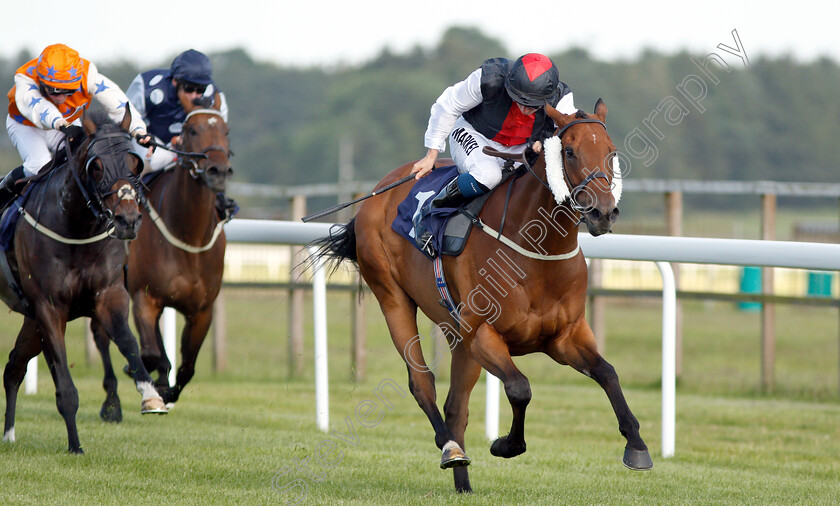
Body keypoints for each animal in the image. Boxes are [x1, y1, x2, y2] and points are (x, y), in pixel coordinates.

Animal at [1, 107, 169, 454]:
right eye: (97, 166)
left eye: (136, 163)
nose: (128, 220)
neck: (76, 229)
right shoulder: (49, 307)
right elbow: (64, 382)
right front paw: (75, 445)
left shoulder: (108, 295)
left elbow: (129, 343)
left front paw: (151, 396)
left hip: (31, 322)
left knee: (13, 367)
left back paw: (9, 434)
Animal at [94, 91, 233, 420]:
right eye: (192, 130)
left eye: (225, 131)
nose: (218, 171)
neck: (187, 236)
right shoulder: (144, 298)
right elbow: (150, 352)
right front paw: (150, 382)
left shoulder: (202, 310)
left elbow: (186, 367)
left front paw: (166, 391)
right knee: (102, 336)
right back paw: (112, 402)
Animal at [312, 101, 652, 492]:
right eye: (569, 152)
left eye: (612, 153)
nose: (603, 212)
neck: (537, 250)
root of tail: (379, 191)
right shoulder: (483, 335)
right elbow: (520, 388)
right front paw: (506, 444)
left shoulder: (565, 337)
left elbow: (607, 373)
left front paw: (637, 446)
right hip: (393, 298)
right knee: (422, 384)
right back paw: (451, 449)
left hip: (455, 331)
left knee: (456, 406)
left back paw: (463, 483)